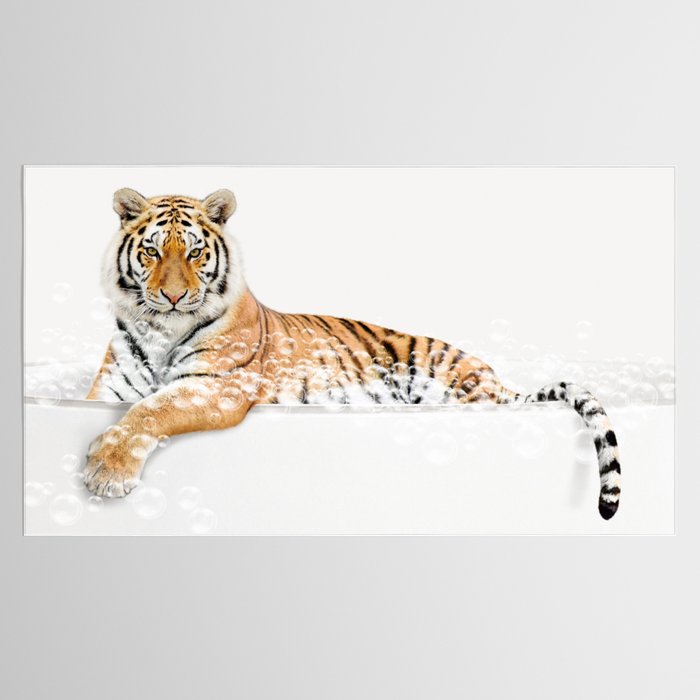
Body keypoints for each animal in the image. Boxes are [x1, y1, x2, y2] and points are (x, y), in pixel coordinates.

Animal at [84, 187, 622, 520]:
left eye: (195, 253)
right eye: (153, 251)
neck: (163, 330)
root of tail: (497, 379)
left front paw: (106, 472)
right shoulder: (108, 389)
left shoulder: (219, 385)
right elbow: (133, 406)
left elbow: (153, 410)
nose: (174, 297)